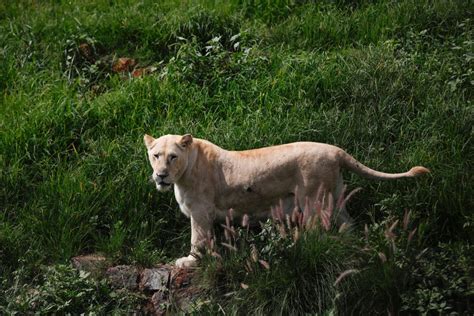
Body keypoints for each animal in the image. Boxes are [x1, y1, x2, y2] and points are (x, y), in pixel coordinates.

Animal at [143, 133, 428, 266]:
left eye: (172, 157)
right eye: (156, 155)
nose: (161, 175)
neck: (184, 172)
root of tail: (337, 151)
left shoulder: (200, 212)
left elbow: (198, 240)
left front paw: (190, 261)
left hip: (312, 200)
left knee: (317, 230)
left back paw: (304, 247)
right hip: (334, 195)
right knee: (348, 222)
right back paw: (349, 242)